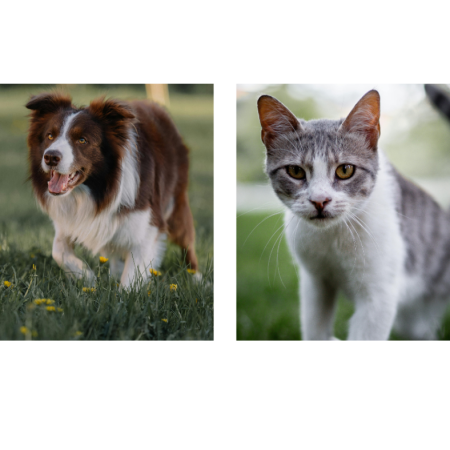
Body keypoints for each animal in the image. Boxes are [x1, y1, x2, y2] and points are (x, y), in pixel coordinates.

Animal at [26, 92, 198, 286]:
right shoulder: (68, 219)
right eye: (50, 136)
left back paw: (198, 279)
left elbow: (132, 275)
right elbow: (58, 251)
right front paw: (89, 279)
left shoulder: (148, 224)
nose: (50, 157)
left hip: (176, 200)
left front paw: (121, 291)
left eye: (82, 140)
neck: (95, 190)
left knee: (187, 241)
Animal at [258, 89, 450, 340]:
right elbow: (315, 329)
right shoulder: (314, 282)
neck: (332, 238)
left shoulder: (379, 294)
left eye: (345, 170)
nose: (320, 200)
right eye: (295, 171)